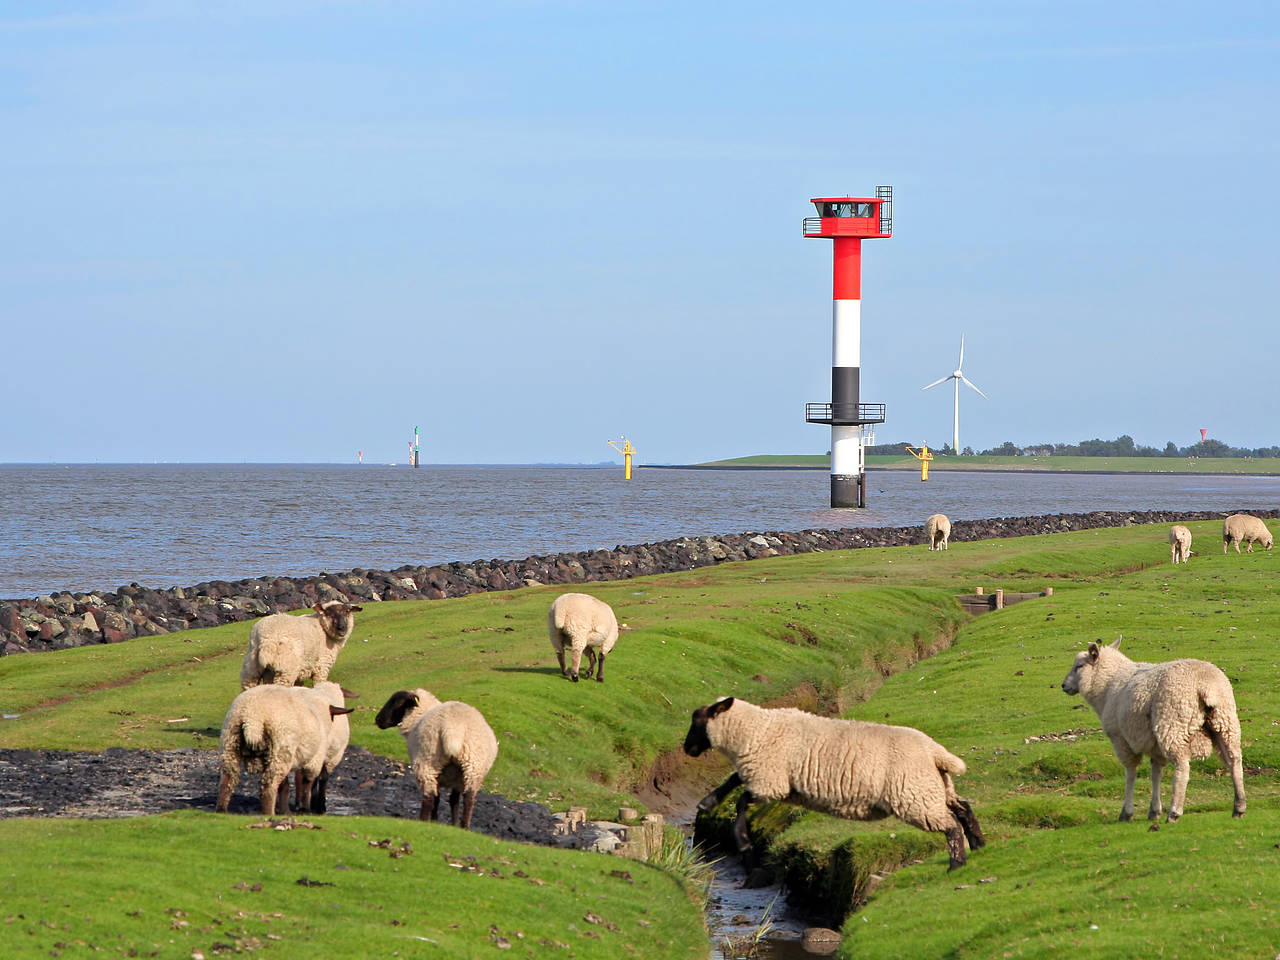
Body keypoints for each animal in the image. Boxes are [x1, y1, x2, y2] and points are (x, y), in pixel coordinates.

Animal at [215, 680, 355, 814]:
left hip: (231, 743)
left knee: (227, 780)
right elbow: (309, 783)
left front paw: (288, 810)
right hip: (280, 748)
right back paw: (269, 813)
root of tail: (252, 718)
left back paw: (222, 810)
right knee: (269, 786)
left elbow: (287, 785)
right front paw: (308, 808)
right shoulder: (316, 758)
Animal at [373, 686, 496, 829]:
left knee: (429, 796)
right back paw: (464, 827)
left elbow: (438, 799)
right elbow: (454, 800)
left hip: (427, 762)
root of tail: (453, 728)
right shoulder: (457, 778)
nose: (378, 719)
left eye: (398, 702)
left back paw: (423, 821)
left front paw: (435, 820)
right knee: (469, 797)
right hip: (473, 767)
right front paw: (454, 824)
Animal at [686, 701, 983, 870]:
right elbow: (734, 779)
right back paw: (979, 844)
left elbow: (740, 800)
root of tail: (935, 752)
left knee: (950, 824)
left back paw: (957, 865)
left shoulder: (772, 781)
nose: (687, 749)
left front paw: (743, 842)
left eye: (697, 720)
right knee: (962, 808)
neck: (756, 730)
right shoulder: (769, 776)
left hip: (914, 795)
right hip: (933, 787)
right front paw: (708, 802)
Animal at [1059, 642, 1249, 824]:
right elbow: (1155, 773)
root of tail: (1205, 685)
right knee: (1234, 761)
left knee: (1182, 767)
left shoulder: (1120, 738)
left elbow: (1130, 773)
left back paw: (1174, 812)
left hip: (1172, 724)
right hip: (1225, 721)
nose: (1064, 686)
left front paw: (1127, 812)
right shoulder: (1153, 742)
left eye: (1079, 666)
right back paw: (1239, 807)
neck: (1107, 684)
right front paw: (1154, 810)